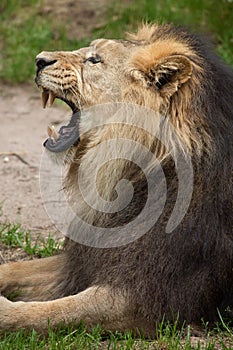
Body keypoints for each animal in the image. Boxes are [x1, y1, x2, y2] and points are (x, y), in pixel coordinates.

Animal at [0, 23, 233, 334]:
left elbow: (53, 313)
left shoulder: (145, 296)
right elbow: (14, 270)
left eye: (95, 60)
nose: (38, 60)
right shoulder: (84, 259)